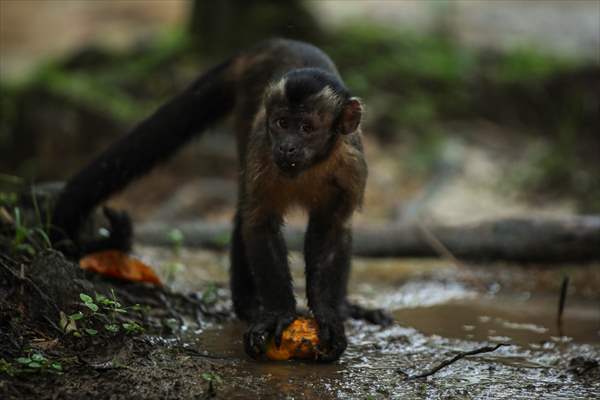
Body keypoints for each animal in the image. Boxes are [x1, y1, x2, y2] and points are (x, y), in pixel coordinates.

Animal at [50, 39, 390, 360]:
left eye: (307, 128)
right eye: (282, 123)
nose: (287, 147)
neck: (312, 166)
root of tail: (266, 45)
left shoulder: (351, 165)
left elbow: (332, 229)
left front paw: (328, 313)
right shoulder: (262, 147)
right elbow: (258, 224)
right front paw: (277, 312)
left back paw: (345, 307)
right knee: (244, 211)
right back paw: (248, 306)